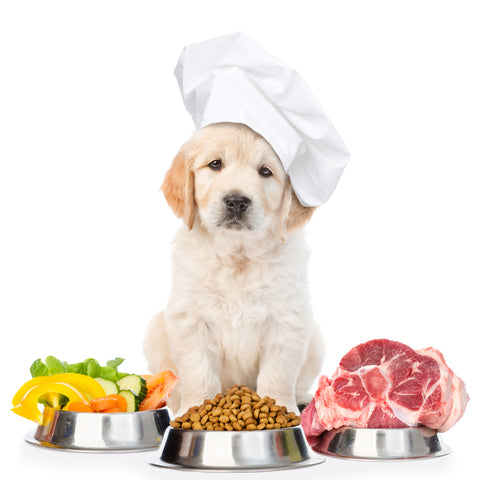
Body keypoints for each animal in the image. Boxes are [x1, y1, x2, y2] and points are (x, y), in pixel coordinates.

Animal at [144, 122, 324, 414]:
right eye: (215, 164)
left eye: (265, 171)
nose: (237, 202)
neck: (238, 255)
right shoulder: (190, 321)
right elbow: (198, 373)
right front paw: (194, 408)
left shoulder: (287, 321)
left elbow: (278, 374)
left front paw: (282, 408)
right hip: (156, 333)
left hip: (316, 338)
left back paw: (302, 399)